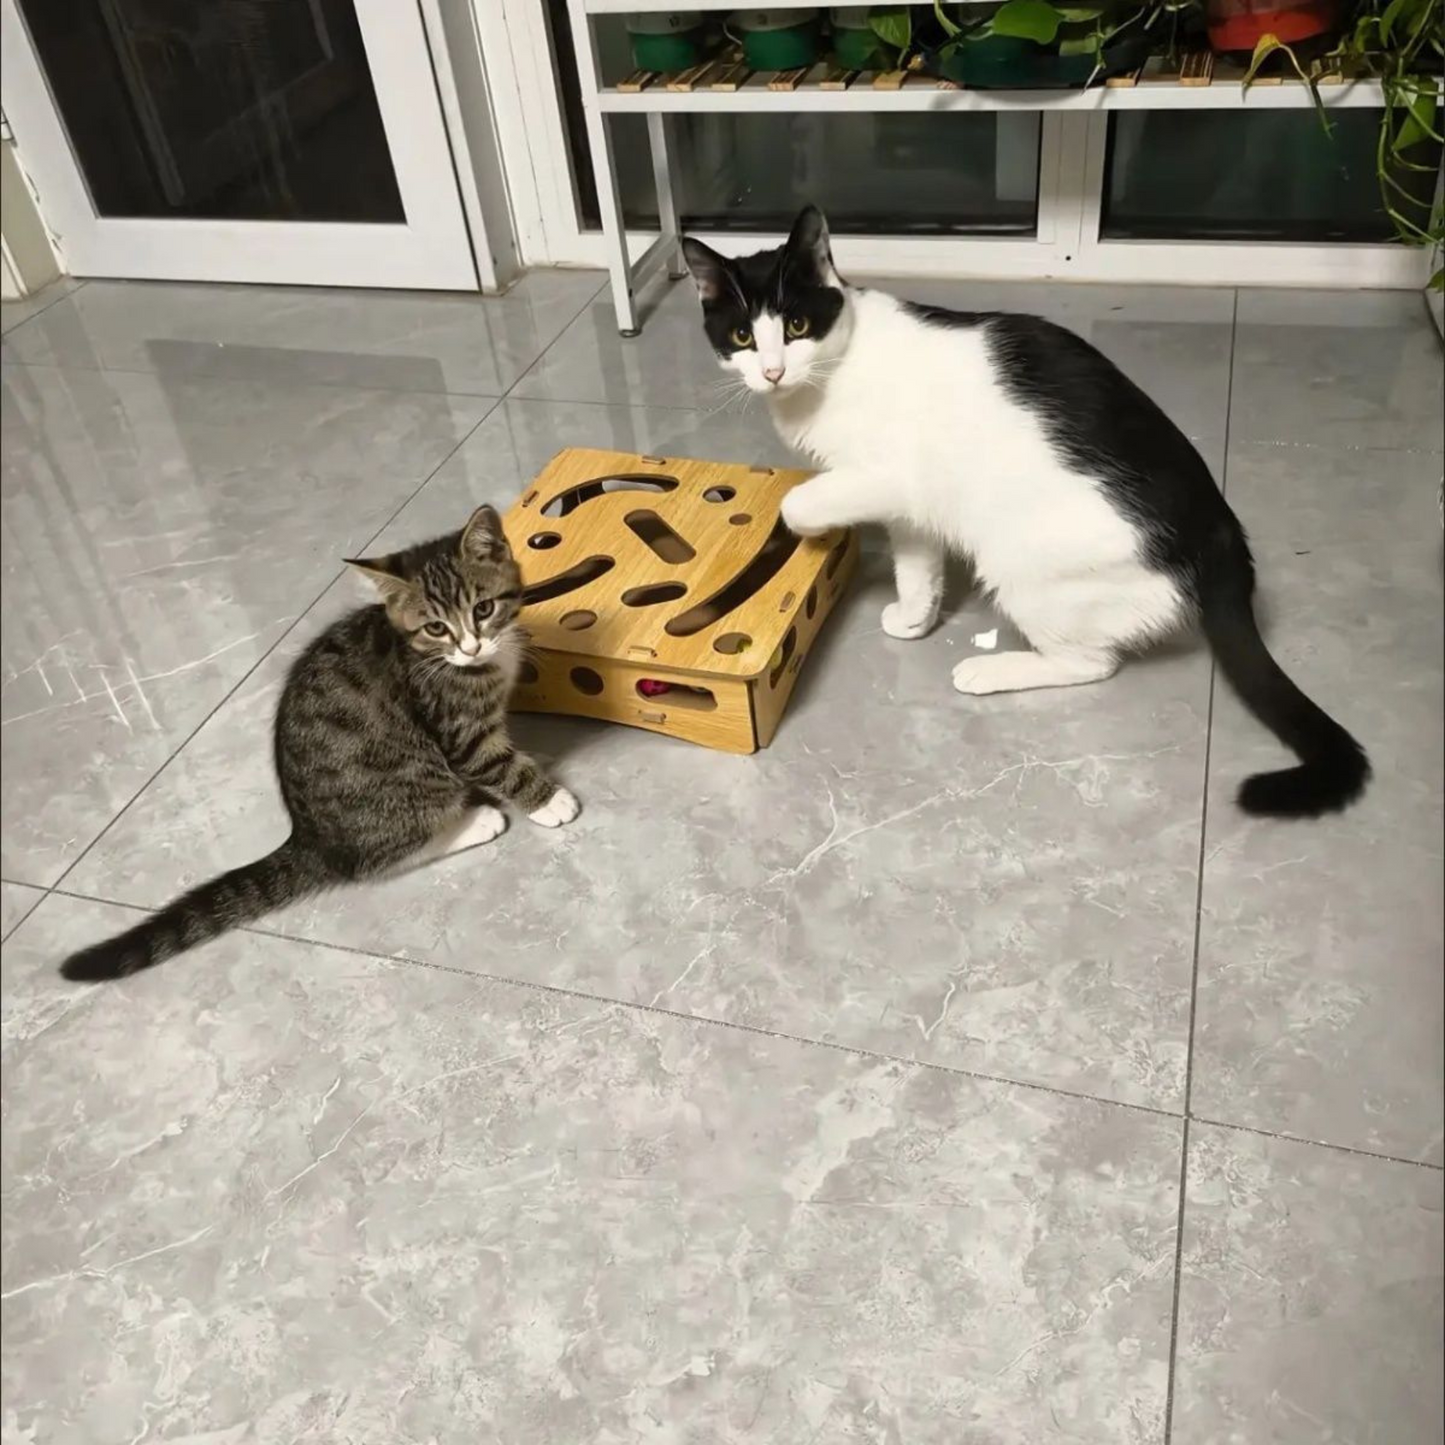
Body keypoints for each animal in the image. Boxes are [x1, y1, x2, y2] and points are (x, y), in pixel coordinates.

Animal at [60, 508, 580, 982]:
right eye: (436, 628)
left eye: (483, 609)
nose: (471, 647)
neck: (443, 660)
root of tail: (311, 838)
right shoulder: (459, 730)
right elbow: (496, 763)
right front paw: (547, 799)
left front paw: (537, 758)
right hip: (410, 782)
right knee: (375, 860)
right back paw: (475, 822)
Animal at [682, 205, 1369, 820]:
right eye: (742, 337)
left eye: (797, 324)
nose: (772, 372)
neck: (830, 373)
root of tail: (1220, 532)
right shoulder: (912, 504)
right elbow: (917, 564)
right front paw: (915, 616)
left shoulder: (886, 476)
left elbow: (801, 499)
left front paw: (807, 524)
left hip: (1022, 564)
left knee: (1092, 663)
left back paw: (991, 670)